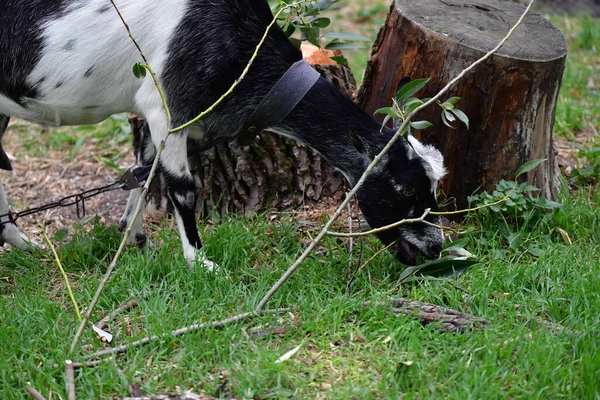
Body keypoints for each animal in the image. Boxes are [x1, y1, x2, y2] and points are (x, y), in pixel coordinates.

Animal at [0, 1, 448, 268]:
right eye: (405, 190)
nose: (437, 247)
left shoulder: (152, 117)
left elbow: (143, 175)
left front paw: (134, 239)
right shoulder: (166, 107)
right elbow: (182, 188)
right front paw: (199, 261)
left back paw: (24, 245)